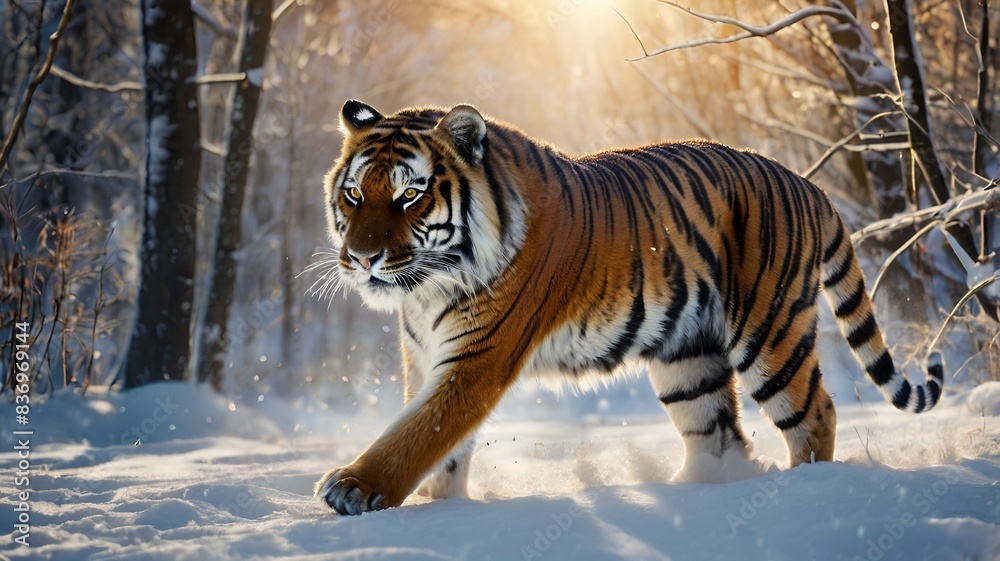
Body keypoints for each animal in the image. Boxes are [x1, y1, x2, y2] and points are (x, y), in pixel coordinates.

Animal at [314, 100, 944, 515]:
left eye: (409, 195)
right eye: (354, 194)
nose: (362, 258)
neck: (427, 287)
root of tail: (811, 186)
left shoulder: (477, 359)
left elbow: (418, 432)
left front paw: (354, 488)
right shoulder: (424, 356)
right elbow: (437, 444)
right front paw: (441, 507)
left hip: (770, 335)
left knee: (815, 415)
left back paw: (801, 494)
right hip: (688, 358)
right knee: (717, 432)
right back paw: (695, 493)